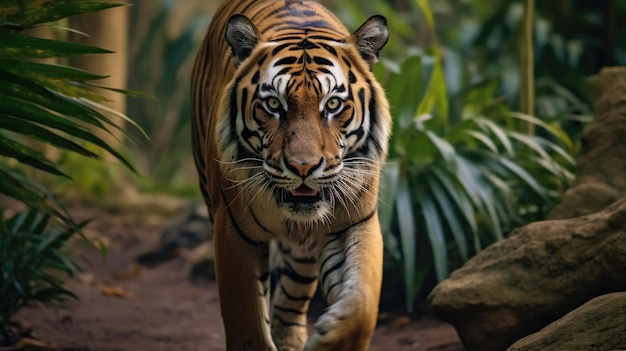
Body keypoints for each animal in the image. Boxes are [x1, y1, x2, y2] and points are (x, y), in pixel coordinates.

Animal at [189, 0, 390, 350]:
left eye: (333, 104)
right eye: (273, 103)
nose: (303, 167)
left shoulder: (355, 222)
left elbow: (364, 303)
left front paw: (328, 339)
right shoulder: (233, 231)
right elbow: (248, 325)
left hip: (302, 255)